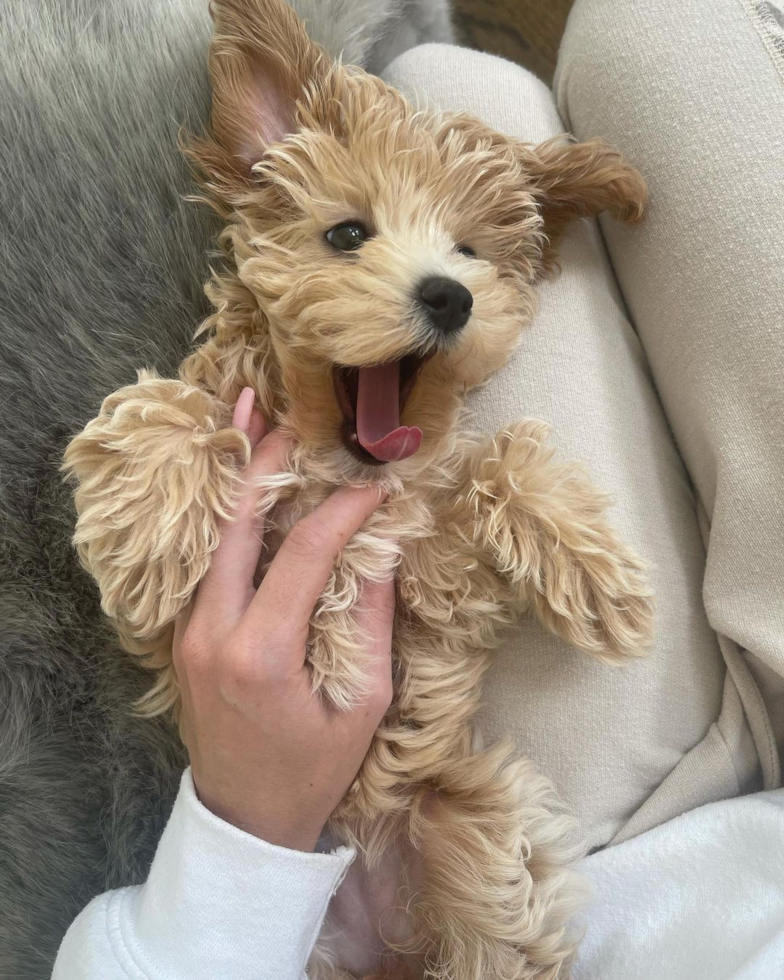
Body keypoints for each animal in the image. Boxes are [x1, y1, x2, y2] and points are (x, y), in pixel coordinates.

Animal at [61, 3, 652, 976]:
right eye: (346, 235)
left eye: (469, 251)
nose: (451, 296)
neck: (341, 464)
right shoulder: (169, 631)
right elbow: (168, 411)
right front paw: (153, 539)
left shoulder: (438, 583)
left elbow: (501, 465)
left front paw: (602, 579)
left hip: (470, 820)